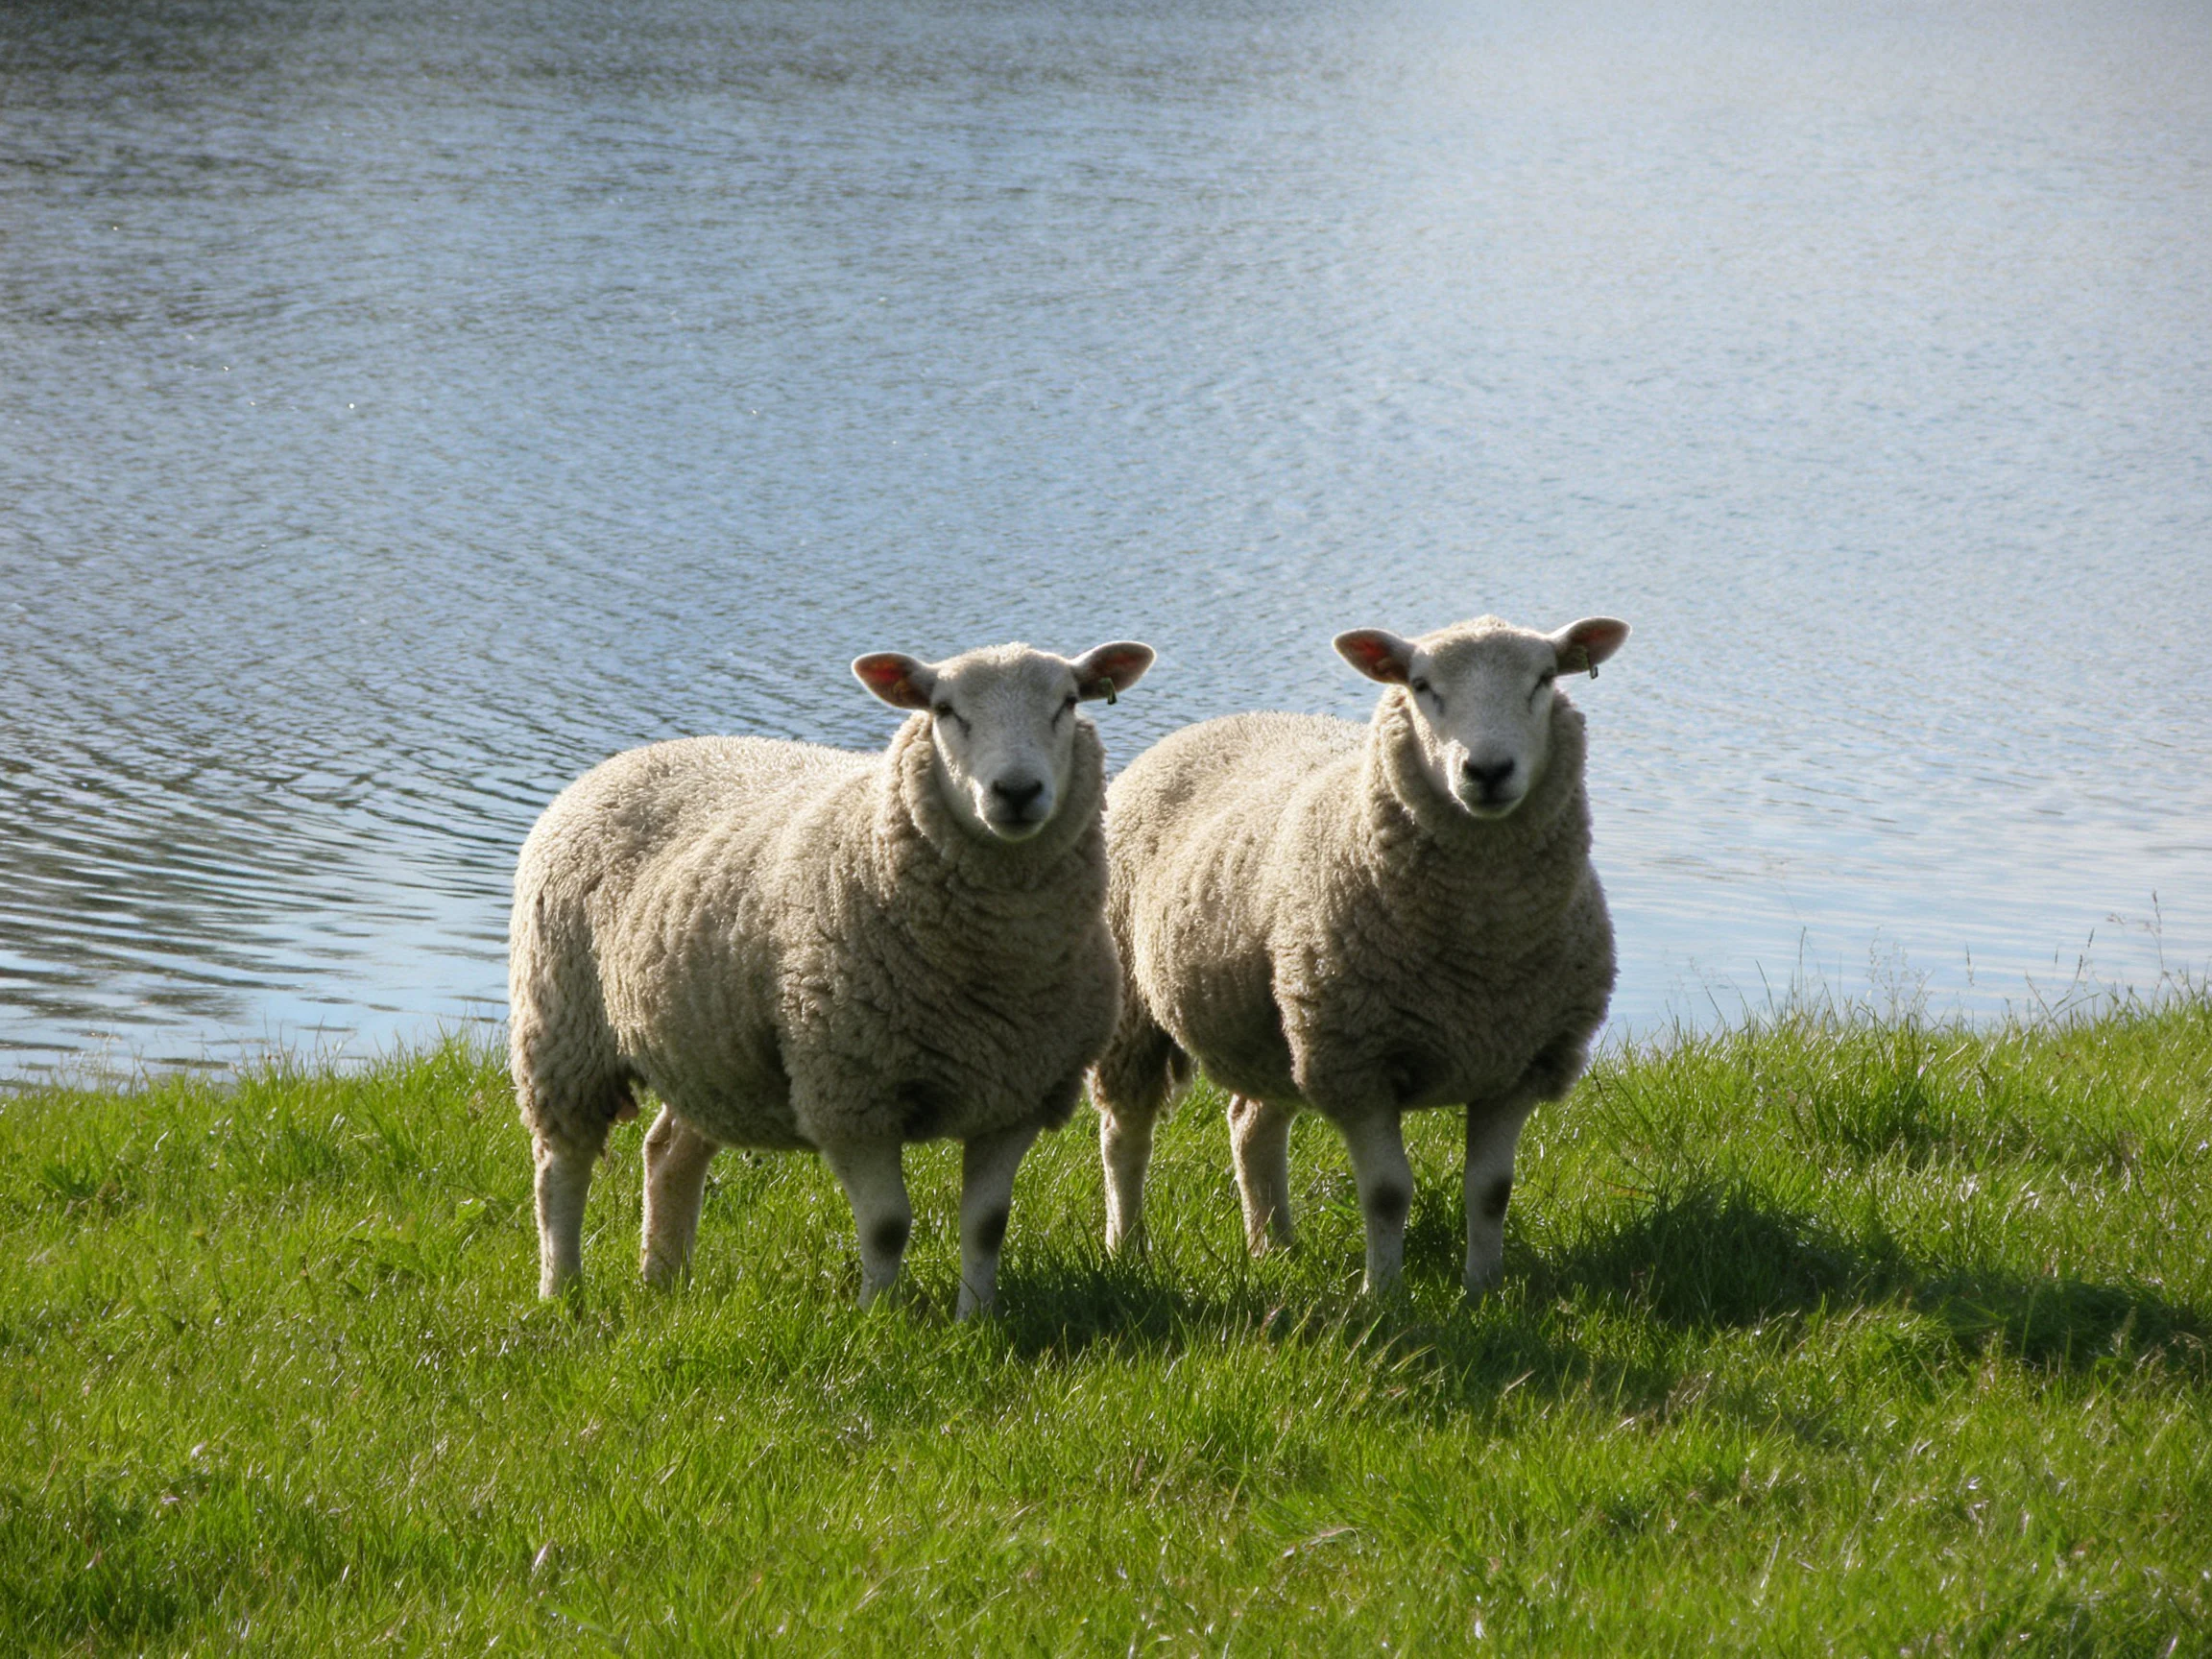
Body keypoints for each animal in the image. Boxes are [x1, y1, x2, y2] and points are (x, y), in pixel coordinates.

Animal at [509, 638, 1155, 1318]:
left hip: (713, 1057)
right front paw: (878, 1320)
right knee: (559, 1170)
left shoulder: (1018, 1095)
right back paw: (562, 1293)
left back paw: (664, 1281)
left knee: (667, 1154)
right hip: (563, 1031)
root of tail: (631, 756)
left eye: (1067, 703)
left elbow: (987, 1225)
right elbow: (887, 1226)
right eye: (944, 709)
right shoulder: (851, 1094)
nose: (1017, 791)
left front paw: (977, 1320)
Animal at [1089, 614, 1627, 1295]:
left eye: (1544, 679)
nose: (1487, 770)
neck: (1481, 956)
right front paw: (1385, 1295)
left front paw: (1485, 1291)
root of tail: (1222, 719)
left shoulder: (1520, 1063)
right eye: (1421, 686)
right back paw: (1126, 1248)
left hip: (1278, 1024)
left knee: (1251, 1124)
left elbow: (1492, 1191)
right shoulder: (1358, 1062)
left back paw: (1274, 1248)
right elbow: (1387, 1194)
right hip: (1136, 1010)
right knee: (1124, 1134)